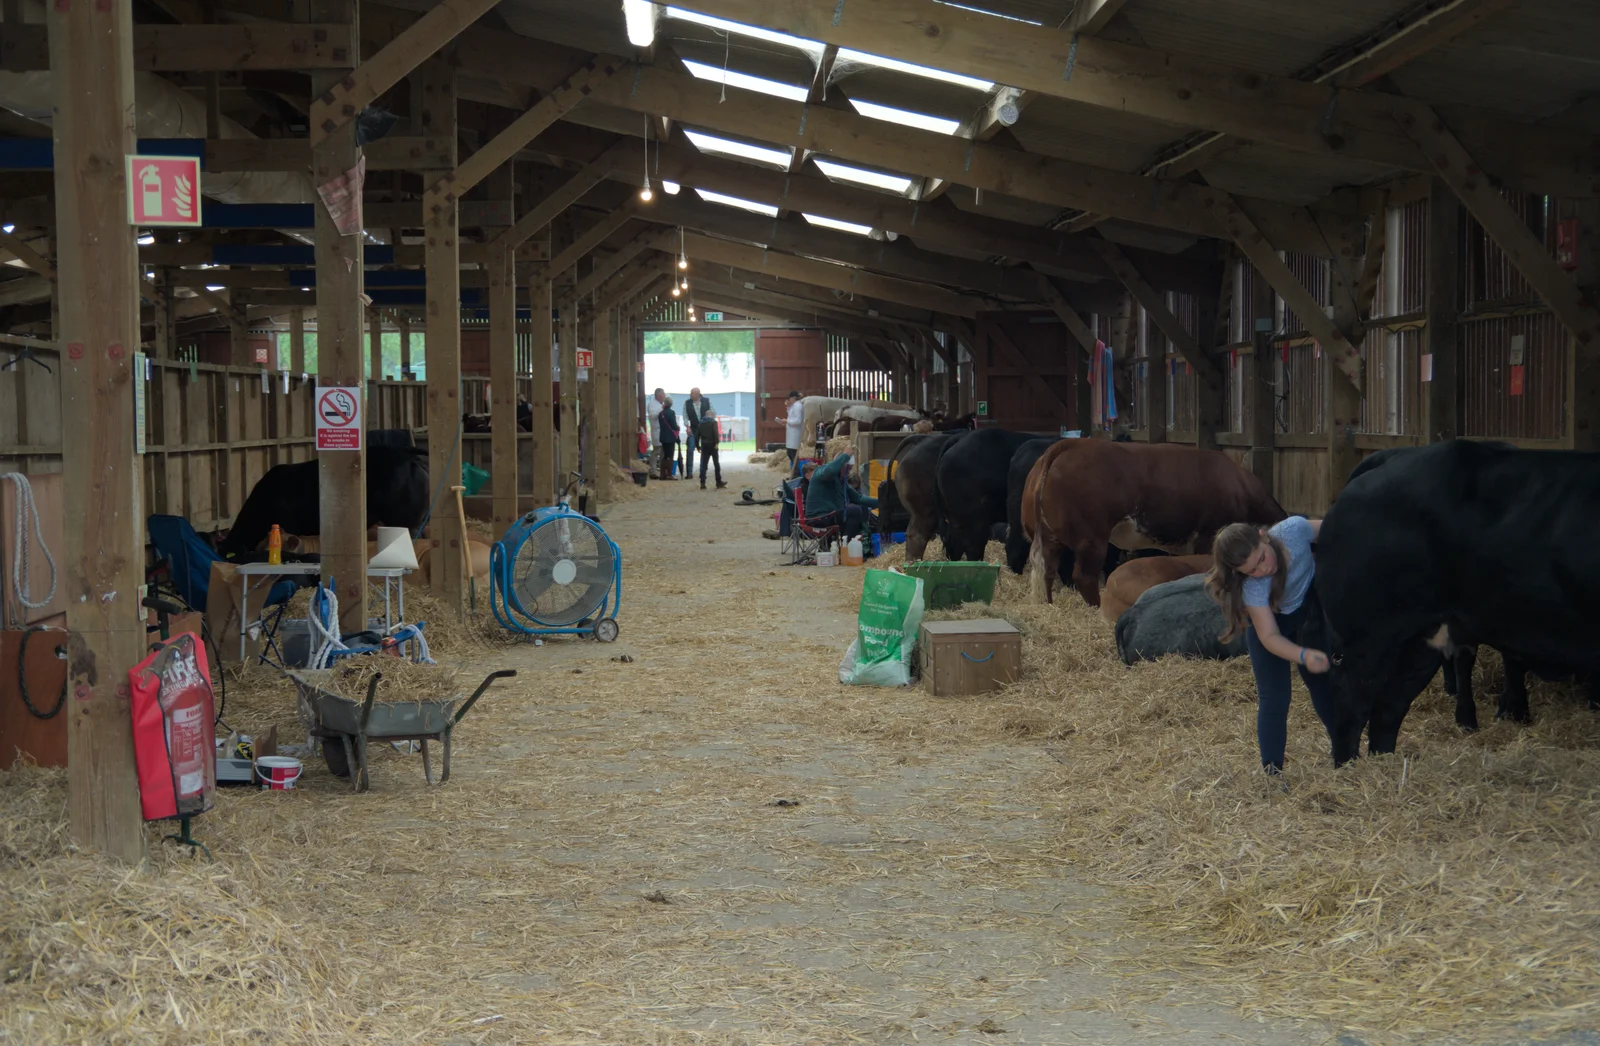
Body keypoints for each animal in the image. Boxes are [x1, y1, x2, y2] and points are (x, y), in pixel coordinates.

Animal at [1024, 441, 1286, 607]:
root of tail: (1070, 444)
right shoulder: (1208, 536)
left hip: (1049, 536)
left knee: (1047, 569)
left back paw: (1048, 604)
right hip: (1091, 539)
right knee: (1084, 576)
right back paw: (1096, 607)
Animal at [1299, 441, 1600, 770]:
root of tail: (1395, 456)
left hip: (1424, 638)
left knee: (1387, 709)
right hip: (1369, 636)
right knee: (1351, 705)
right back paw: (1350, 771)